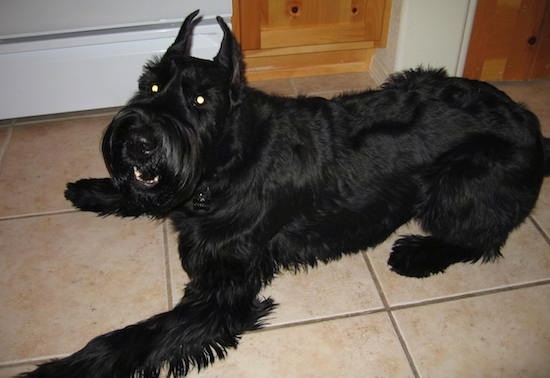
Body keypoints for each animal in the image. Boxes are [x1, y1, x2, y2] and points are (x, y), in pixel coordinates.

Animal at [23, 9, 550, 378]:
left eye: (200, 99)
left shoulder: (223, 292)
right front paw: (93, 190)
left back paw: (418, 253)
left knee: (480, 238)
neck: (230, 158)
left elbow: (141, 334)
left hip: (460, 185)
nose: (138, 142)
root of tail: (533, 126)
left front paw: (65, 367)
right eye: (150, 85)